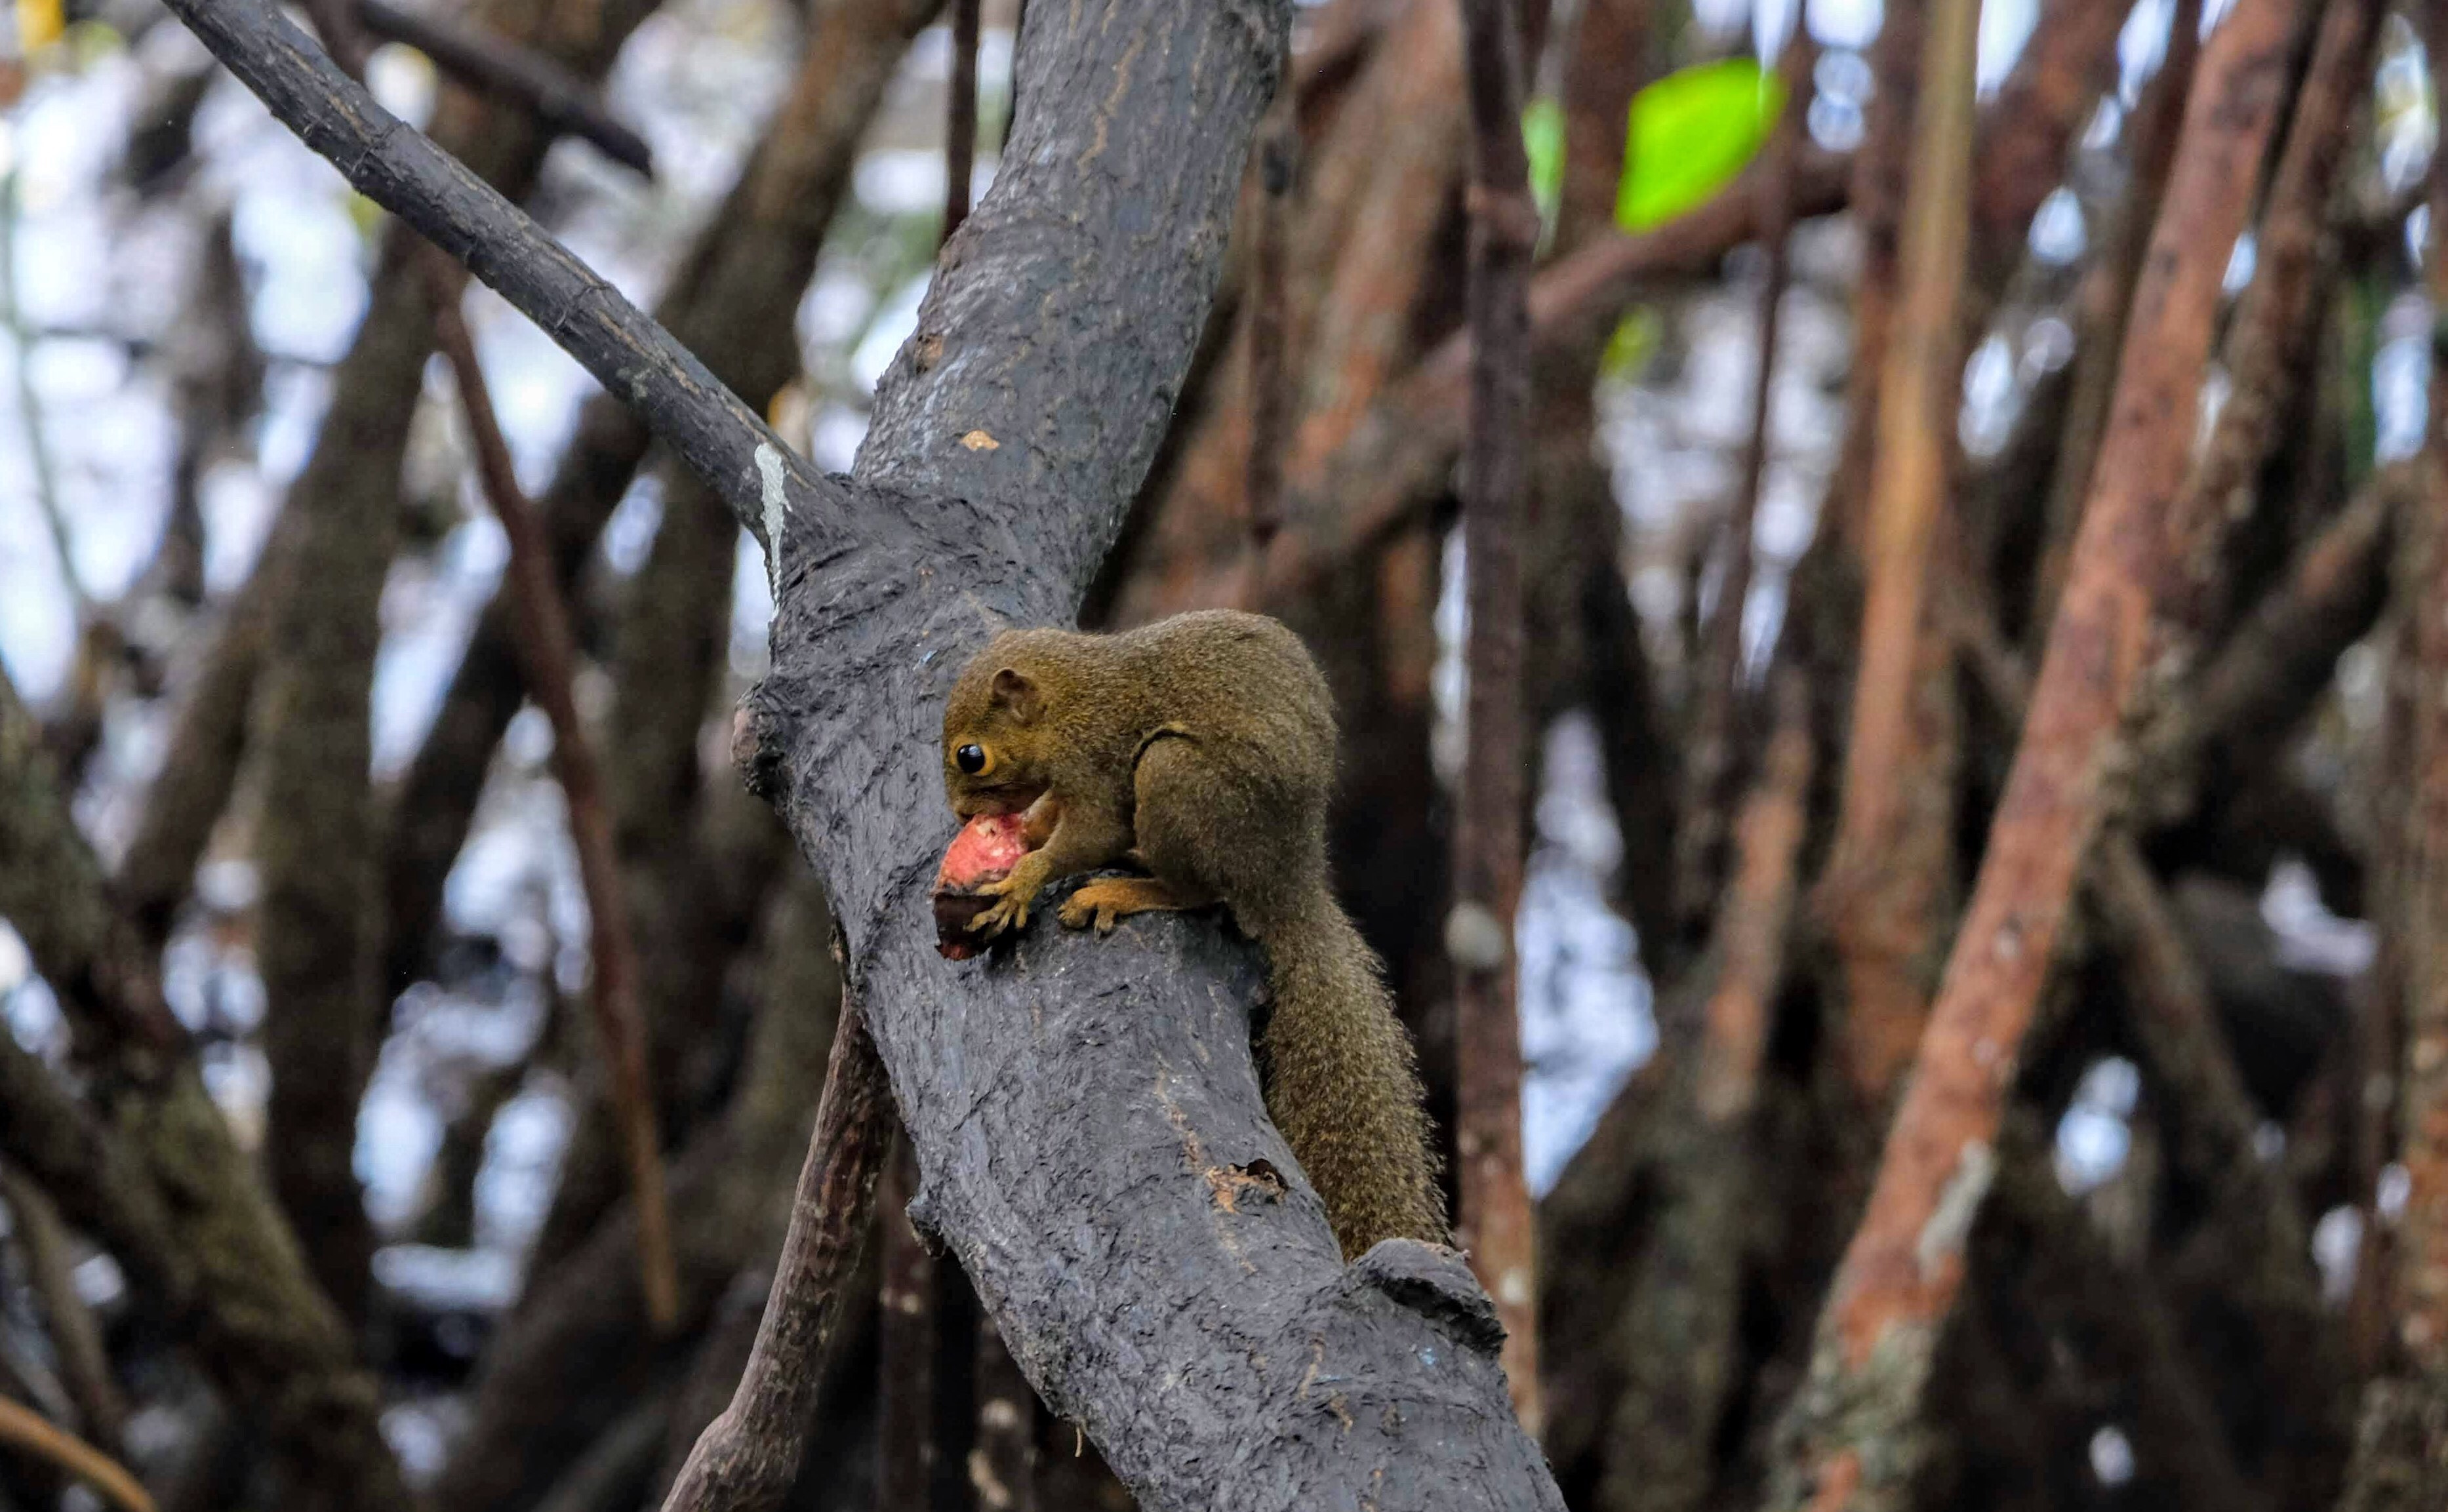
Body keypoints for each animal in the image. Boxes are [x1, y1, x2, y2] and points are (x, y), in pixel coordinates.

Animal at [940, 607, 1439, 1252]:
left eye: (971, 756)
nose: (960, 816)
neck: (1071, 699)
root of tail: (1287, 881)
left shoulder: (1097, 758)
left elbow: (1094, 831)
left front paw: (1022, 878)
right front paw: (1028, 830)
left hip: (1176, 780)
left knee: (1198, 891)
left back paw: (1124, 890)